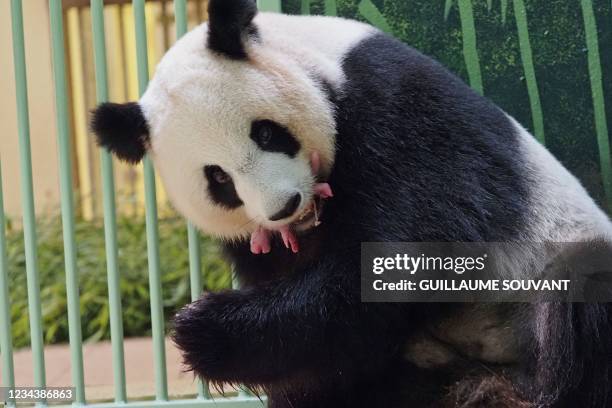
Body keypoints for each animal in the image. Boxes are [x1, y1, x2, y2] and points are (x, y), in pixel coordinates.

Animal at [91, 0, 612, 406]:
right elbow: (322, 352)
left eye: (266, 133)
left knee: (584, 291)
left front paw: (202, 327)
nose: (283, 206)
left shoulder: (398, 112)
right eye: (218, 179)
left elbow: (398, 263)